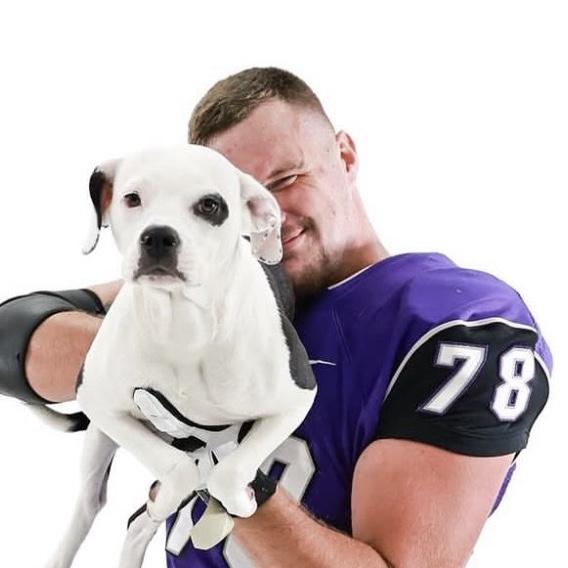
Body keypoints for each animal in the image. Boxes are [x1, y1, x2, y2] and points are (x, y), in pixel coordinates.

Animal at [34, 145, 317, 568]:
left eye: (210, 205)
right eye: (132, 198)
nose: (158, 237)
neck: (183, 326)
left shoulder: (297, 398)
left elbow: (227, 474)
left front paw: (241, 499)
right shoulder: (101, 403)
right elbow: (177, 470)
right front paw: (169, 492)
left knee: (140, 519)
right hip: (98, 445)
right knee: (90, 507)